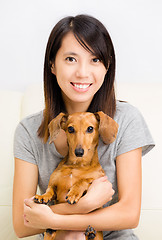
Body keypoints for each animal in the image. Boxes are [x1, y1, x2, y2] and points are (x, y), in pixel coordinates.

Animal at [34, 111, 118, 239]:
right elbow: (50, 189)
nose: (79, 152)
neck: (76, 165)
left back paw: (91, 233)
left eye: (90, 128)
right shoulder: (54, 184)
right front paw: (43, 196)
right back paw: (50, 230)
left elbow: (84, 180)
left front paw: (73, 193)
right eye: (70, 129)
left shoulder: (97, 179)